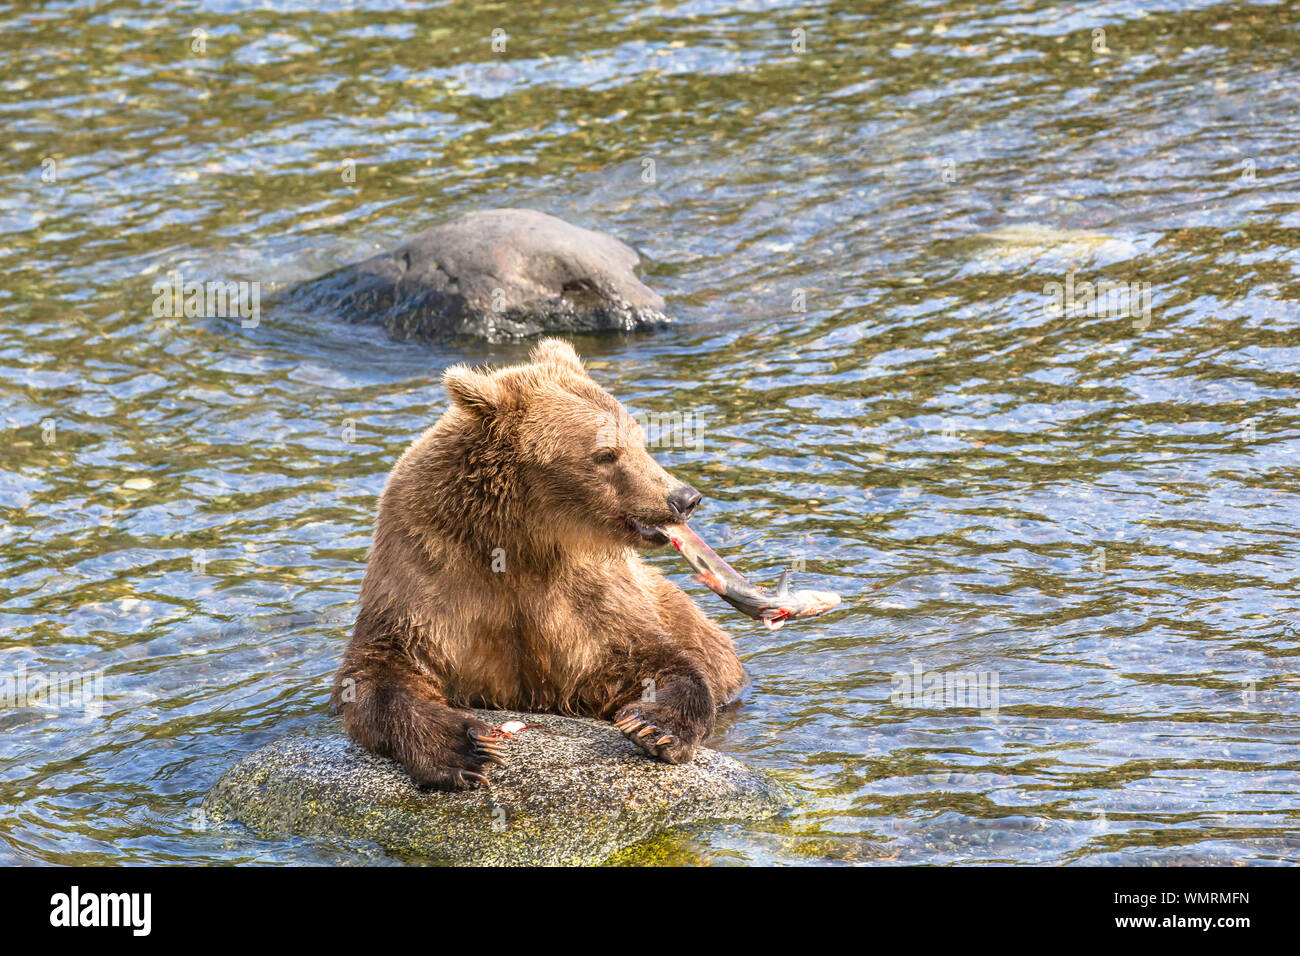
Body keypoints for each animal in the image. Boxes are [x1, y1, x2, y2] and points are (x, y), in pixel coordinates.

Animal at [330, 340, 748, 790]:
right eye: (606, 454)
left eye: (639, 439)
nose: (684, 497)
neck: (522, 542)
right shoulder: (428, 572)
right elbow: (380, 673)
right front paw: (467, 747)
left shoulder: (587, 602)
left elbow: (654, 658)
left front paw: (656, 726)